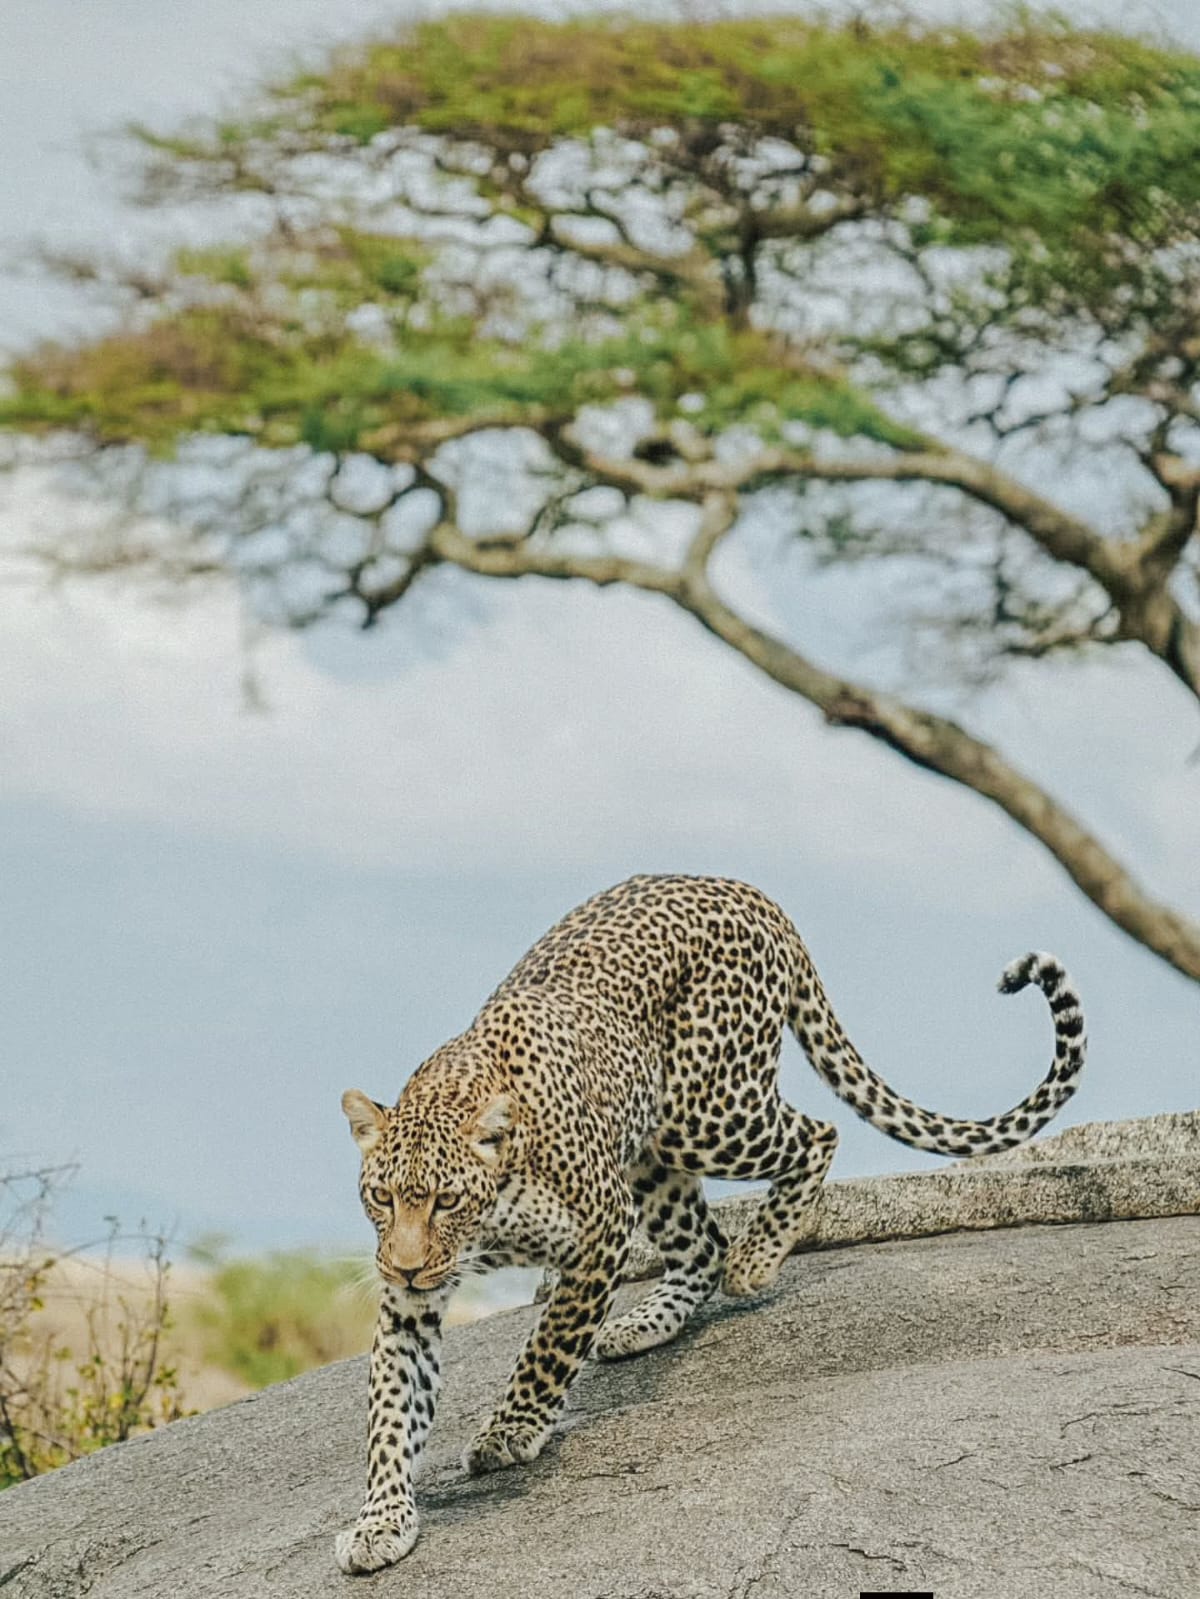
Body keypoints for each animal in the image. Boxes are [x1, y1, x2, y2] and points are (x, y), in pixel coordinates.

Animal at [334, 873, 1085, 1574]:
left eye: (445, 1200)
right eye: (382, 1197)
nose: (405, 1264)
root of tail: (743, 888)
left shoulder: (599, 1231)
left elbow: (548, 1347)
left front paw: (510, 1429)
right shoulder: (410, 1301)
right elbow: (392, 1408)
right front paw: (380, 1523)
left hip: (706, 1112)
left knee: (816, 1135)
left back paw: (758, 1257)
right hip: (658, 1149)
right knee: (702, 1244)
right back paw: (642, 1323)